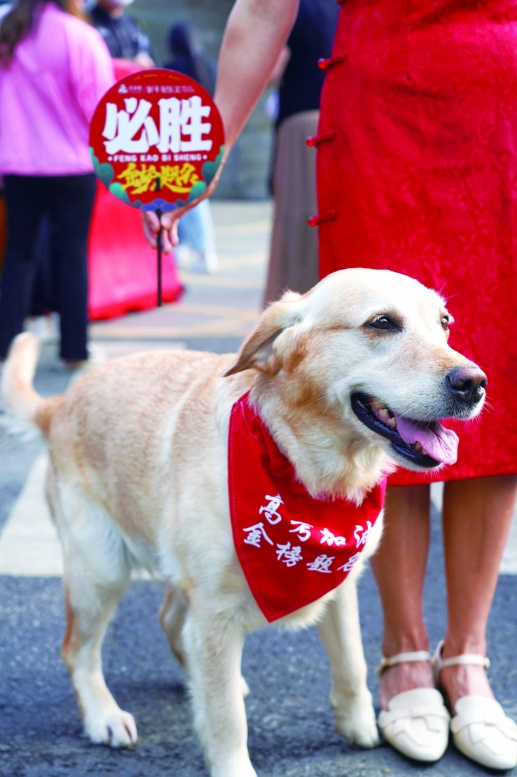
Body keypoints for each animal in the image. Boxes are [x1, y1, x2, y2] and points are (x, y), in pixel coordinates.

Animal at [2, 268, 486, 777]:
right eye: (383, 323)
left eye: (445, 323)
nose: (475, 383)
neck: (305, 469)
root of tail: (59, 402)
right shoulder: (215, 615)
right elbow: (226, 718)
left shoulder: (340, 584)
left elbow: (352, 661)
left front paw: (357, 724)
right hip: (101, 569)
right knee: (78, 650)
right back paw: (104, 715)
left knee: (170, 621)